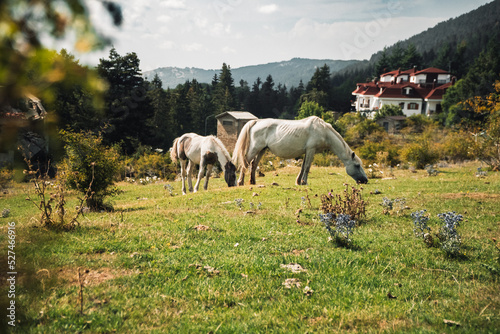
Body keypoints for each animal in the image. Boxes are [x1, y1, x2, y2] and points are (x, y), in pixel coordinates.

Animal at [233, 117, 368, 185]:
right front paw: (304, 182)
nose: (365, 180)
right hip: (255, 148)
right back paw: (240, 182)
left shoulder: (307, 151)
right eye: (357, 165)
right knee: (245, 163)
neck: (323, 131)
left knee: (253, 164)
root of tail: (256, 121)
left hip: (262, 149)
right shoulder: (311, 150)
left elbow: (303, 167)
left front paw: (298, 181)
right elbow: (307, 167)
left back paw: (252, 182)